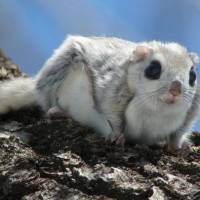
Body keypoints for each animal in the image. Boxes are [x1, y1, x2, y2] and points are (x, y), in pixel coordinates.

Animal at [0, 35, 199, 152]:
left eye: (192, 75)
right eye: (154, 69)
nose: (176, 89)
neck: (158, 109)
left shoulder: (192, 109)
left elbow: (180, 131)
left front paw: (177, 146)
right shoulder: (113, 87)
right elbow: (112, 113)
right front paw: (117, 135)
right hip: (60, 69)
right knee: (47, 99)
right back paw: (57, 111)